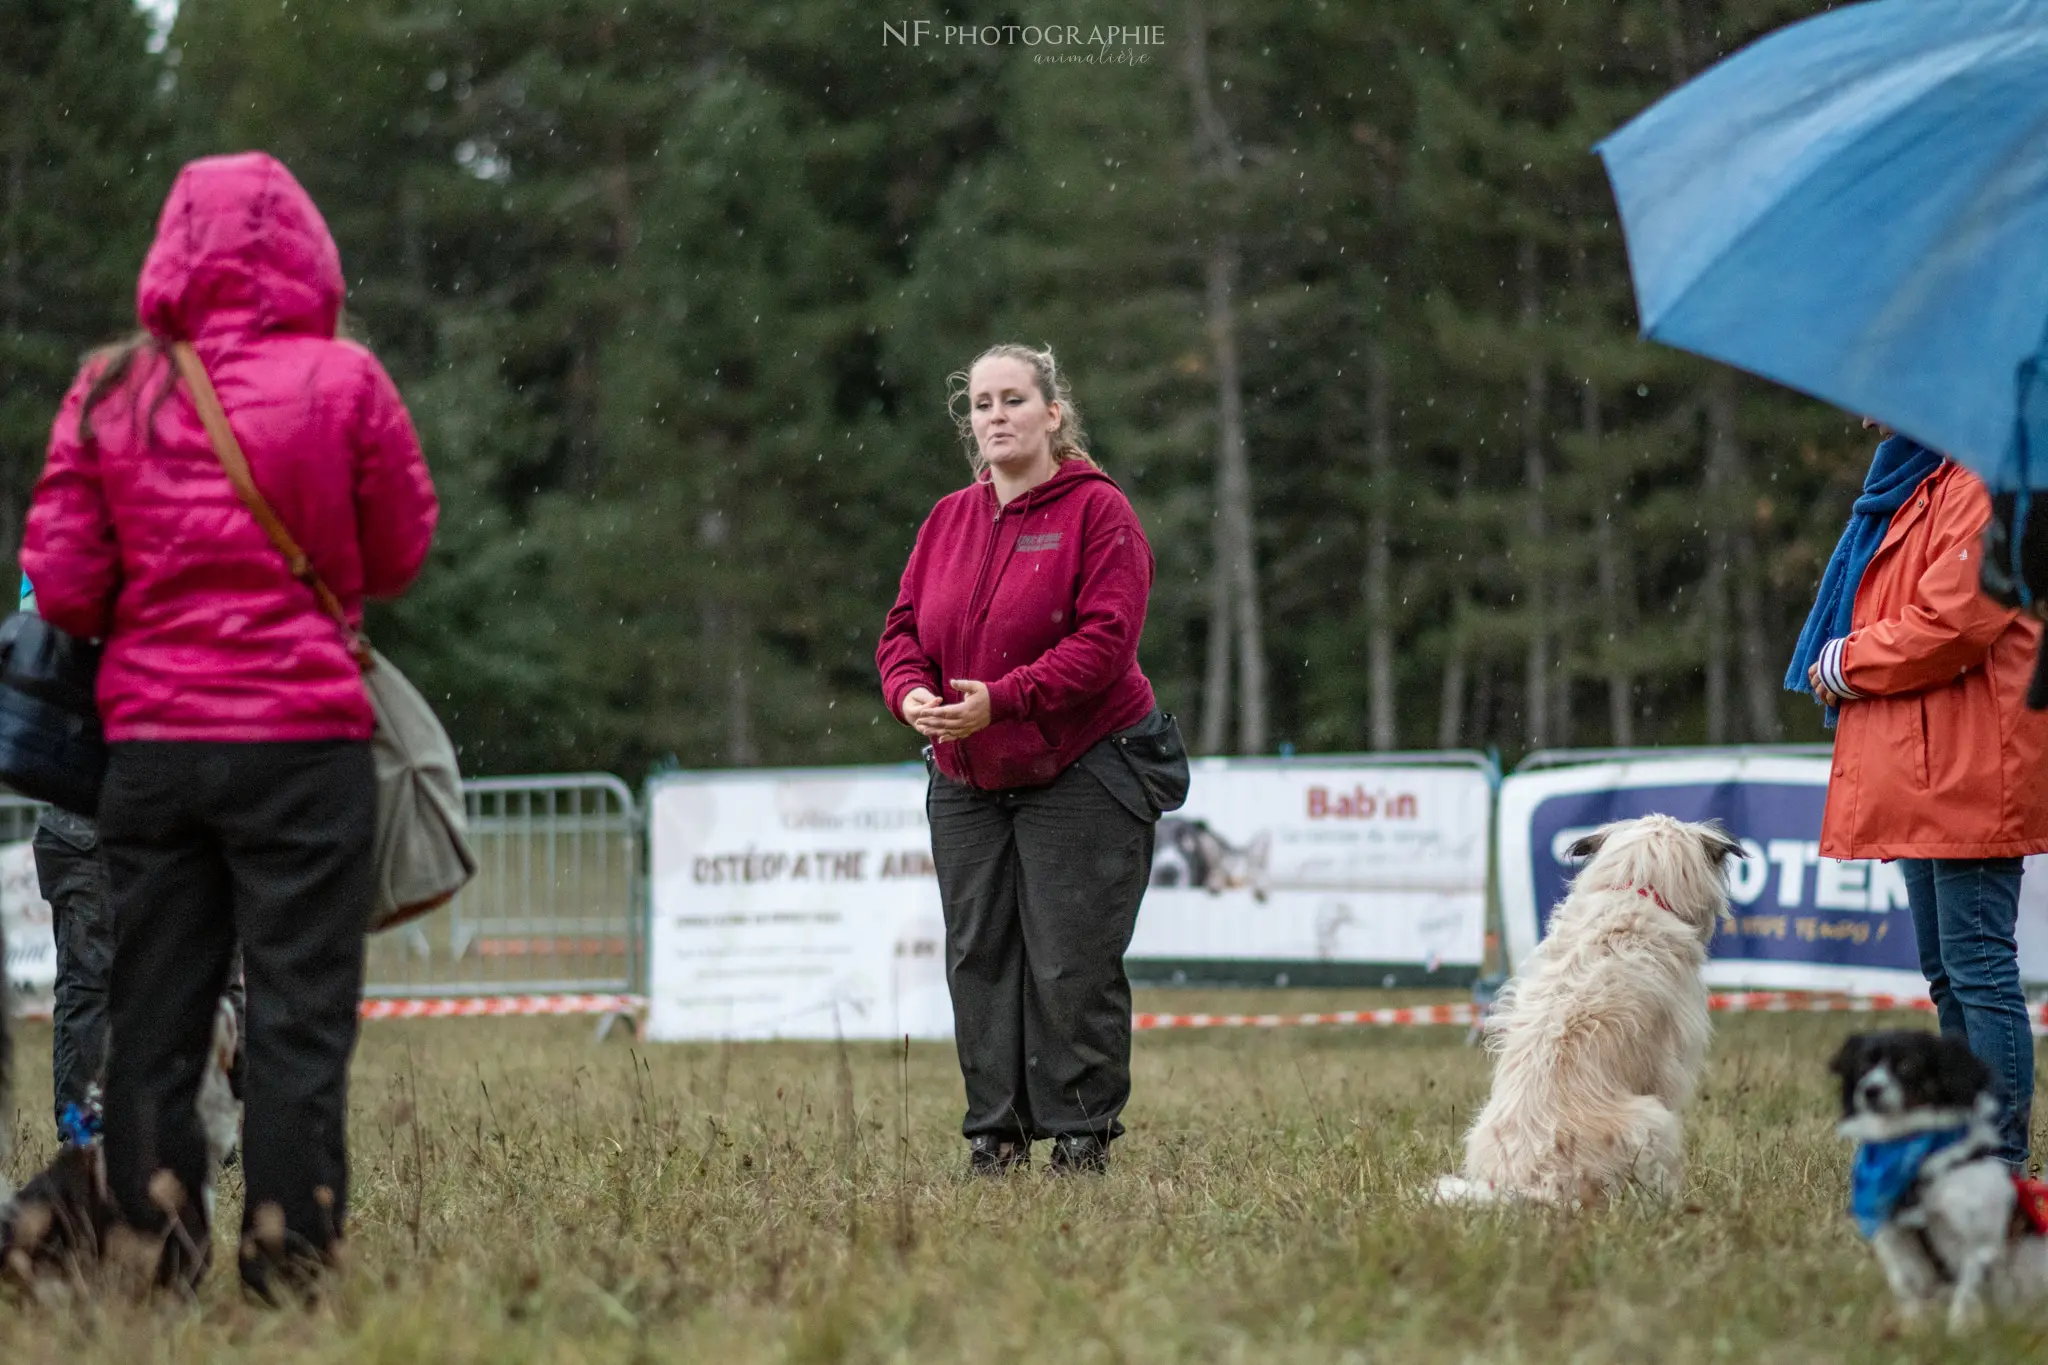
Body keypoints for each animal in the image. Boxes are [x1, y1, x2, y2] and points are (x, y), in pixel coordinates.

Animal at [1826, 1031, 2048, 1326]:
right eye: (1864, 1066)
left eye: (1908, 1065)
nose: (1870, 1090)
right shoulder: (1895, 1241)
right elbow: (1907, 1287)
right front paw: (1915, 1328)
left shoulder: (1978, 1243)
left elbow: (1967, 1293)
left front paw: (1959, 1329)